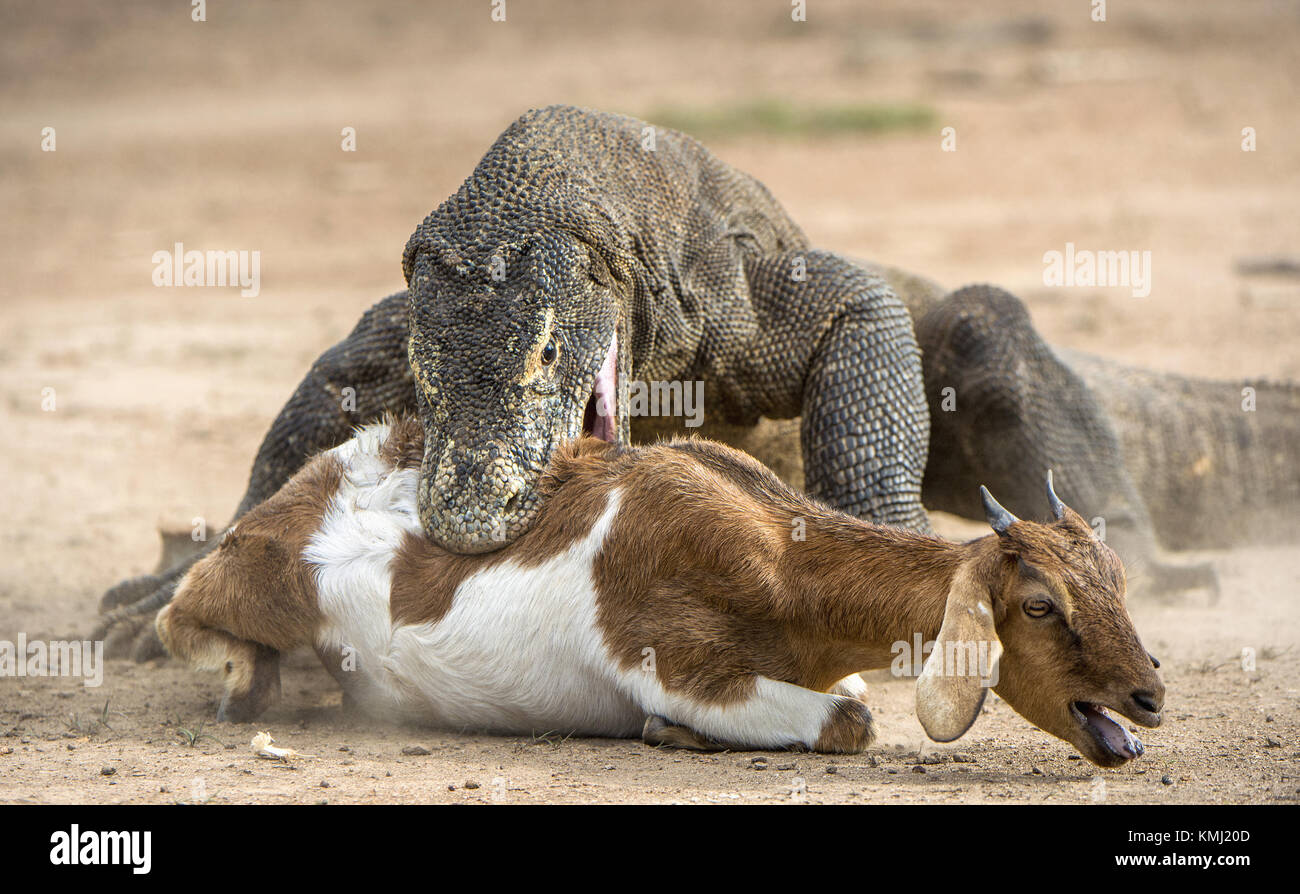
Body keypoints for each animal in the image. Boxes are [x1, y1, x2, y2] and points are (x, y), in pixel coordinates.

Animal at [157, 415, 1164, 764]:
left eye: (1117, 582)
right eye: (1041, 605)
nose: (1148, 694)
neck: (780, 559)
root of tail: (351, 457)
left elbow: (846, 697)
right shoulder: (677, 662)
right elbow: (851, 719)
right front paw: (664, 731)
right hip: (262, 575)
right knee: (181, 610)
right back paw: (245, 680)